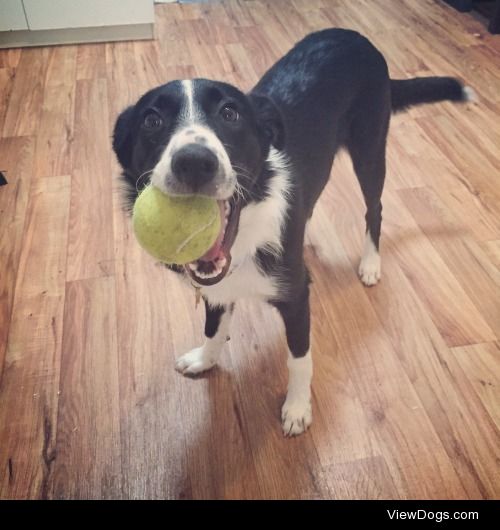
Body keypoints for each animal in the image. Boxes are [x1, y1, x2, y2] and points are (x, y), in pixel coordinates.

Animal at [113, 27, 472, 434]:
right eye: (151, 121)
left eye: (230, 113)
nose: (193, 162)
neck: (246, 235)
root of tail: (355, 36)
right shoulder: (216, 288)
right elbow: (213, 327)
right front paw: (205, 359)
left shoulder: (298, 295)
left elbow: (299, 358)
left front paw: (298, 408)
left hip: (370, 146)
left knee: (376, 209)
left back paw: (370, 264)